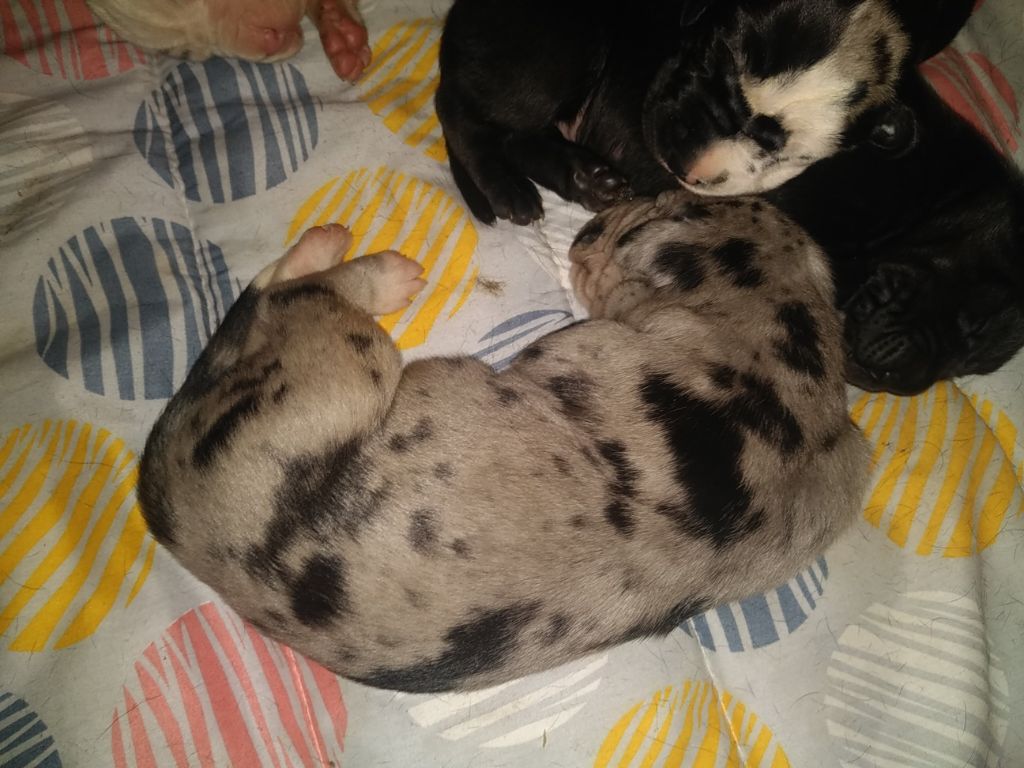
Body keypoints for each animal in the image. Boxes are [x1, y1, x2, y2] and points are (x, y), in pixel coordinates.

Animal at [137, 192, 869, 693]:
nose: (592, 223)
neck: (786, 346)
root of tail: (170, 510)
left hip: (345, 363)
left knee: (287, 293)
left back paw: (359, 261)